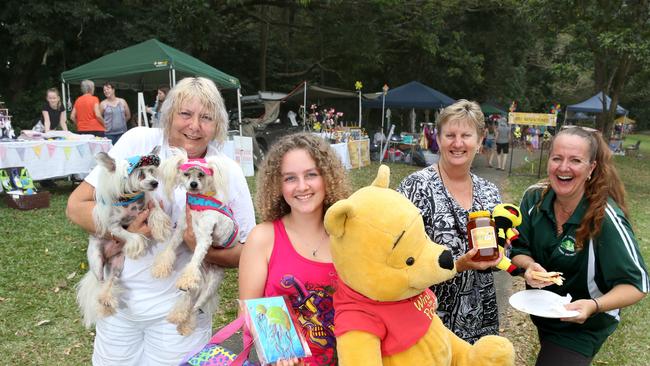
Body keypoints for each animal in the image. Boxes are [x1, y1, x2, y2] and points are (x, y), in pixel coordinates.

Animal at [75, 147, 171, 328]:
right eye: (140, 174)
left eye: (152, 171)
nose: (155, 183)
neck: (132, 200)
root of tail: (108, 258)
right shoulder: (114, 226)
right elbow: (130, 235)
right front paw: (136, 245)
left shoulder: (150, 204)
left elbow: (156, 210)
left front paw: (160, 227)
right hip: (97, 261)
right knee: (101, 282)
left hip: (118, 265)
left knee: (111, 280)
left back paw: (107, 299)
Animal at [152, 148, 238, 334]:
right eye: (186, 174)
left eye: (201, 174)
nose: (193, 184)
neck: (199, 203)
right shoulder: (181, 231)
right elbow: (169, 249)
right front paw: (161, 266)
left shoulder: (204, 238)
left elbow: (194, 260)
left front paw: (187, 274)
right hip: (194, 289)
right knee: (186, 301)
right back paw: (177, 316)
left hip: (209, 288)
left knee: (194, 307)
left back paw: (186, 324)